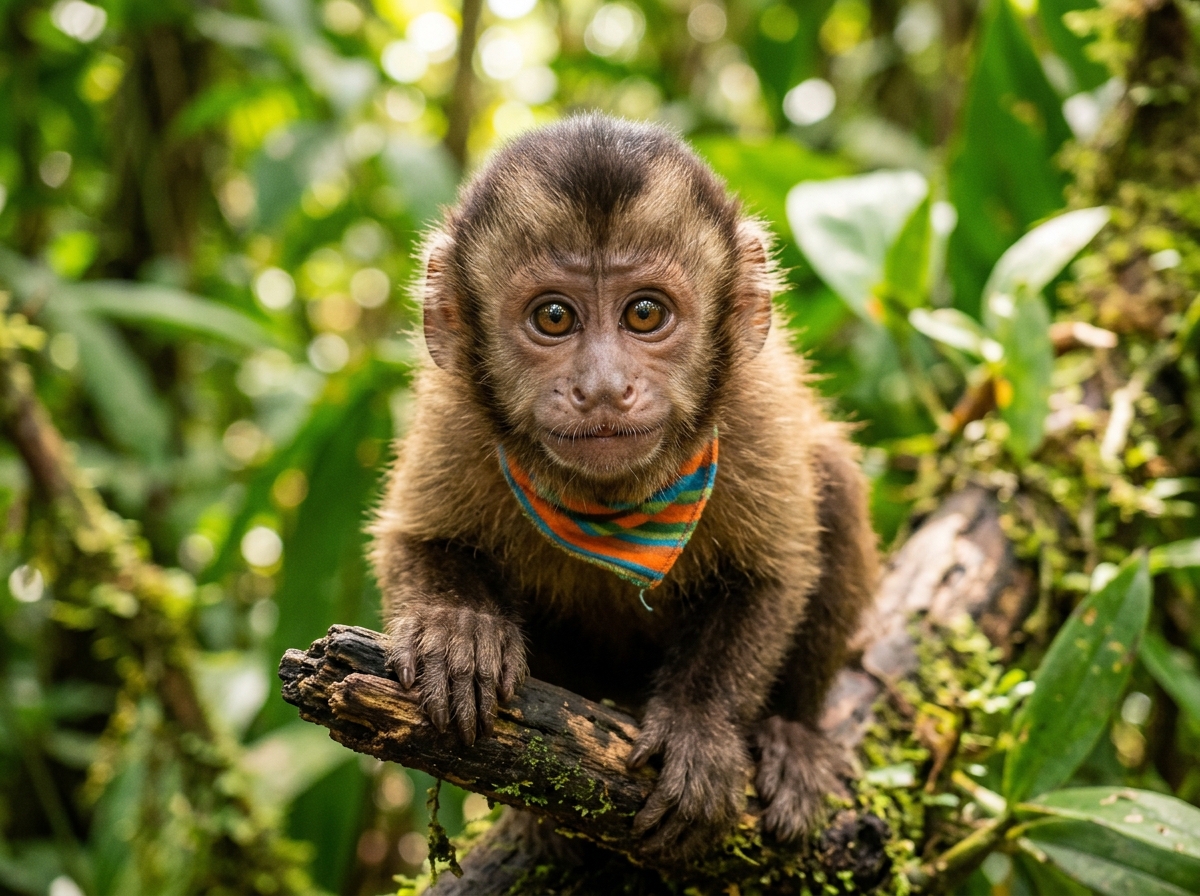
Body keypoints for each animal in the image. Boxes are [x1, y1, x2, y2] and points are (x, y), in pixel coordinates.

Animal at [369, 113, 878, 862]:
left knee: (834, 481)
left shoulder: (755, 407)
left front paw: (701, 727)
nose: (604, 388)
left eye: (644, 314)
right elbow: (415, 539)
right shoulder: (454, 409)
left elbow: (773, 575)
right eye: (554, 317)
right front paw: (456, 630)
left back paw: (794, 737)